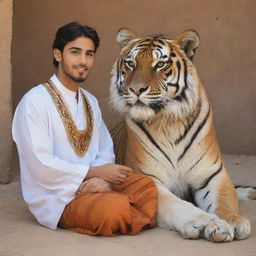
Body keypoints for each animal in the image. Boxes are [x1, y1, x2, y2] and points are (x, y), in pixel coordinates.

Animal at [109, 27, 255, 242]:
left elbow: (225, 200)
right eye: (131, 63)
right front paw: (208, 222)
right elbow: (177, 205)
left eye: (160, 64)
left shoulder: (212, 174)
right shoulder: (146, 179)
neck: (168, 121)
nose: (135, 89)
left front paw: (232, 221)